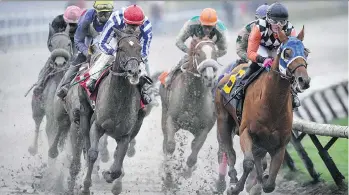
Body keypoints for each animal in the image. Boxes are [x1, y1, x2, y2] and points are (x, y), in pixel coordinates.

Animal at [28, 26, 72, 156]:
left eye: (68, 43)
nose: (60, 63)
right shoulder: (51, 114)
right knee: (37, 122)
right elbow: (51, 131)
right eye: (51, 44)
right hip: (37, 107)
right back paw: (33, 149)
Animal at [159, 37, 219, 178]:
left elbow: (193, 153)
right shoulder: (171, 119)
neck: (193, 96)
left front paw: (186, 172)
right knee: (165, 140)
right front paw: (169, 172)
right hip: (164, 112)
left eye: (216, 53)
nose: (209, 77)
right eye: (198, 53)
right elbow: (170, 145)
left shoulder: (204, 128)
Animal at [215, 26, 310, 195]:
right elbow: (248, 163)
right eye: (287, 52)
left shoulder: (279, 143)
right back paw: (231, 179)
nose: (303, 80)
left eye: (305, 52)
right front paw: (236, 188)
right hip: (223, 121)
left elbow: (269, 183)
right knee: (228, 151)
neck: (271, 104)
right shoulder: (246, 132)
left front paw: (259, 183)